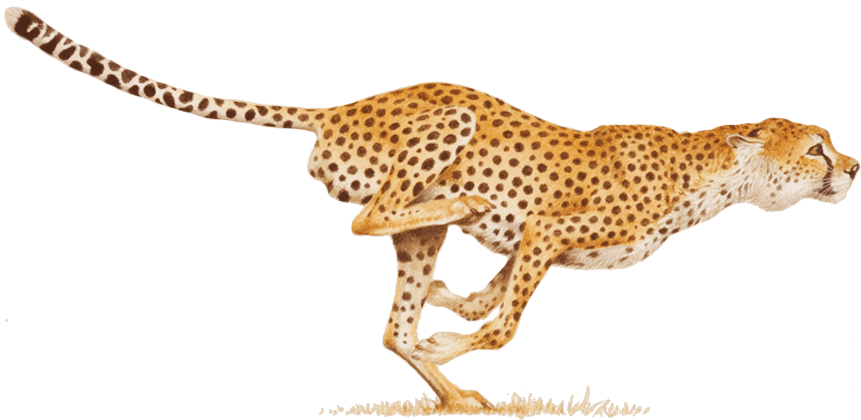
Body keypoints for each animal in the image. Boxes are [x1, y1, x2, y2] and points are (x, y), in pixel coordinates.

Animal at [6, 5, 859, 411]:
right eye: (814, 149)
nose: (851, 167)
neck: (712, 174)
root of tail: (343, 107)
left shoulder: (536, 244)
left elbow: (487, 300)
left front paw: (452, 327)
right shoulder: (547, 229)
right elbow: (503, 321)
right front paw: (456, 343)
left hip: (426, 232)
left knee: (390, 319)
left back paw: (455, 399)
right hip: (445, 122)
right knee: (368, 220)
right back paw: (462, 208)